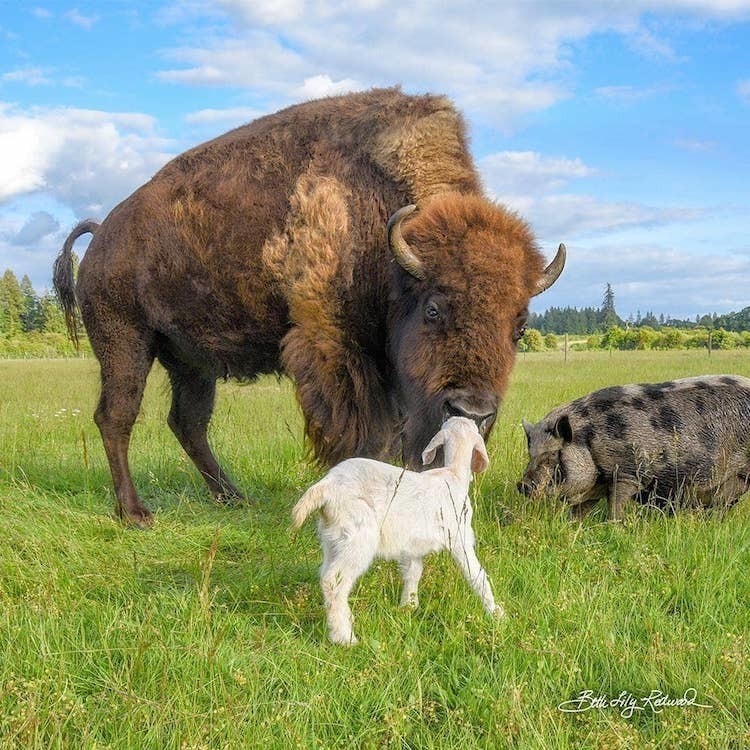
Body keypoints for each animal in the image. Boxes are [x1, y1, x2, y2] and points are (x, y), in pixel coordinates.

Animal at [53, 86, 564, 528]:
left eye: (519, 327)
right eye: (434, 310)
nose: (473, 411)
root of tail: (102, 234)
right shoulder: (336, 349)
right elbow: (369, 434)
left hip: (191, 362)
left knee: (188, 423)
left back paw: (233, 497)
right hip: (125, 342)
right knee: (116, 416)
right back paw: (135, 513)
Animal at [520, 376, 750, 524]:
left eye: (552, 455)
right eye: (531, 455)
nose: (522, 485)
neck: (589, 440)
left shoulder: (628, 473)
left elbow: (615, 505)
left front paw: (615, 527)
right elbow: (579, 511)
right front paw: (572, 527)